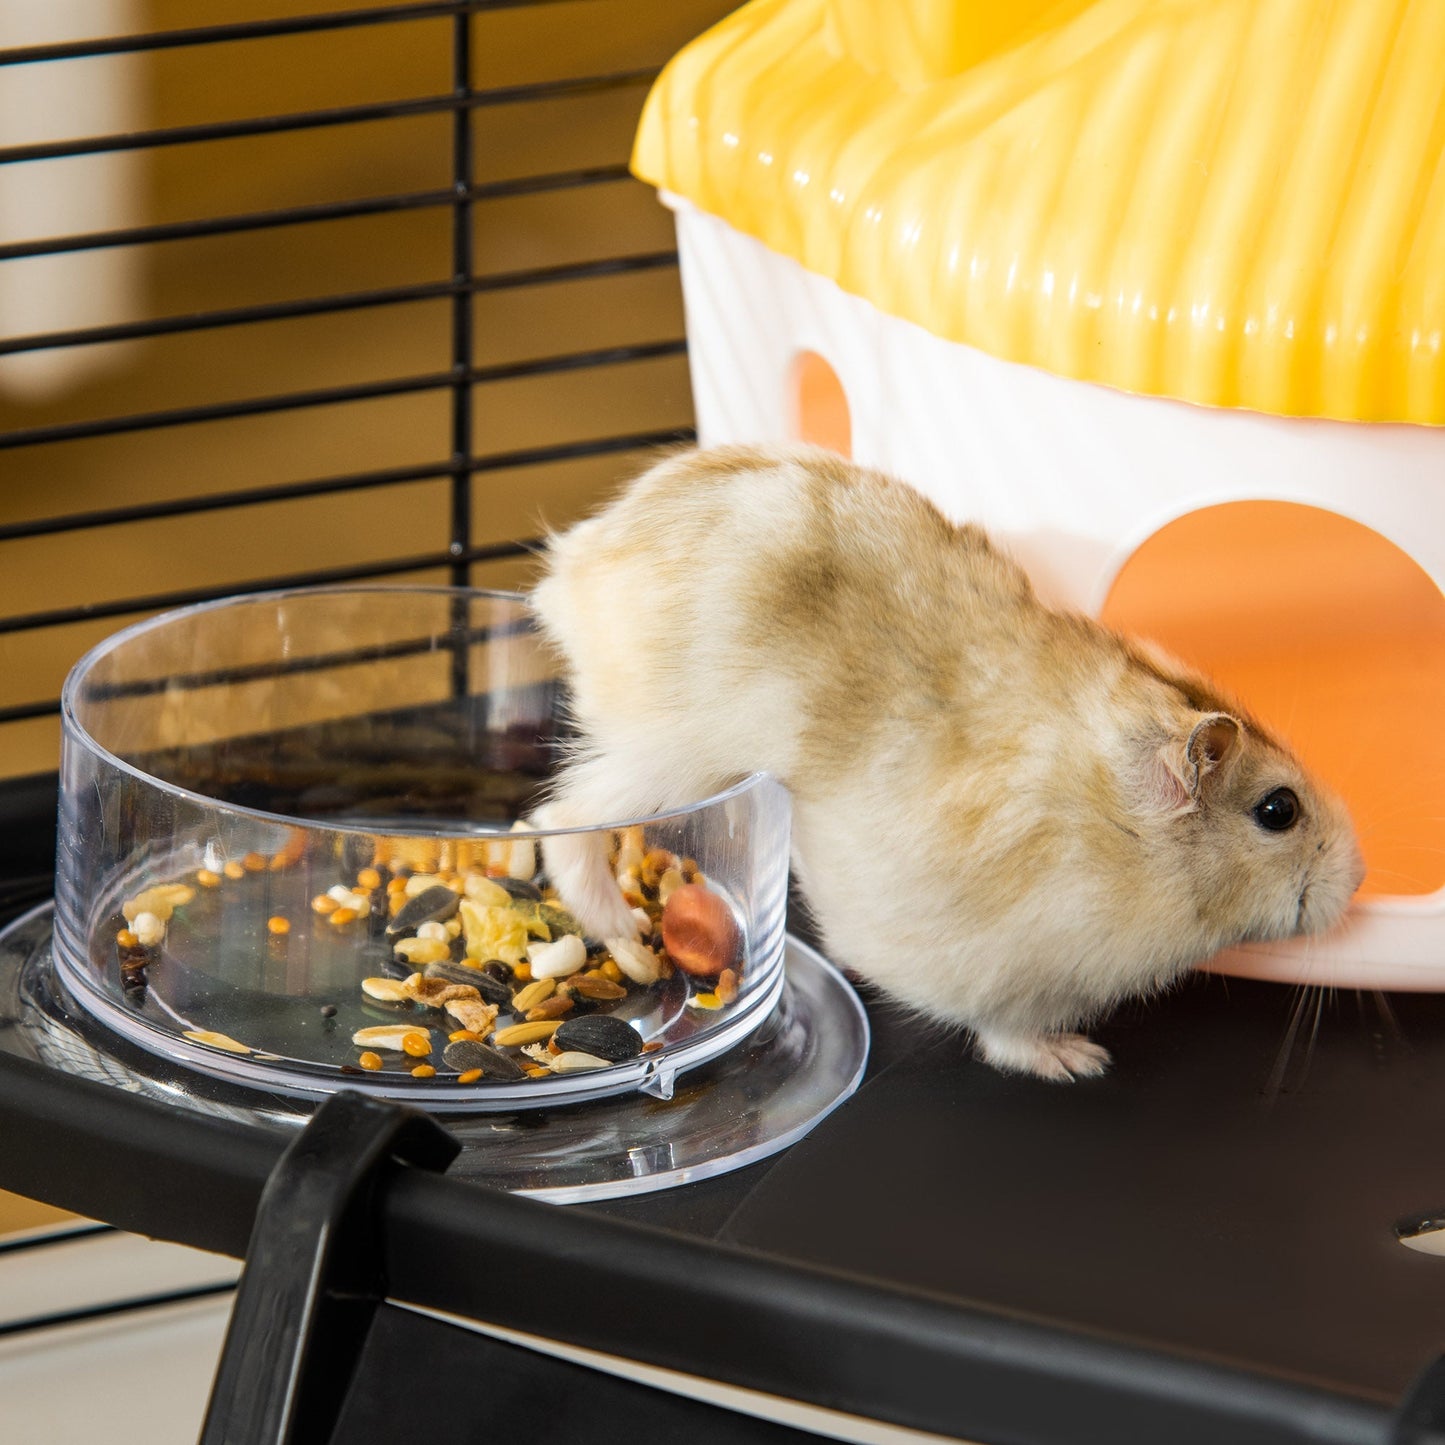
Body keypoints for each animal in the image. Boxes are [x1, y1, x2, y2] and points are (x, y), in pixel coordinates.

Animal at [525, 445, 1358, 1080]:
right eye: (1278, 810)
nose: (1359, 879)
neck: (1124, 836)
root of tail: (570, 567)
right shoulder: (1003, 973)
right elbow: (1005, 1034)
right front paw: (1080, 1059)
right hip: (667, 759)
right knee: (558, 817)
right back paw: (624, 929)